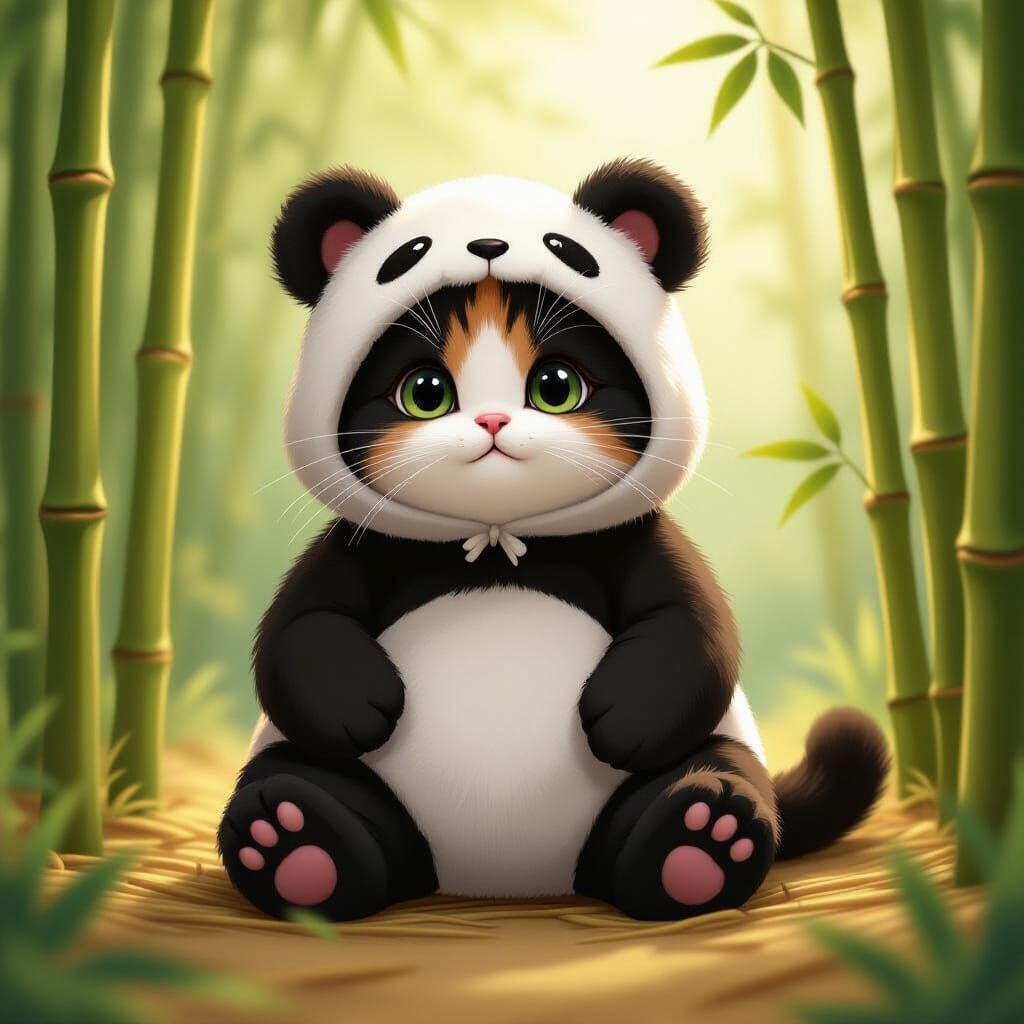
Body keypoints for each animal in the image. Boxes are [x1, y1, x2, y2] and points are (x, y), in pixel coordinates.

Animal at [218, 159, 888, 921]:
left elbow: (693, 626)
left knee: (708, 770)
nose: (492, 423)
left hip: (711, 749)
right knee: (298, 777)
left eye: (557, 385)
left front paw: (624, 718)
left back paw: (700, 840)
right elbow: (300, 630)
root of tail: (504, 877)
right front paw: (360, 703)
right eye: (424, 392)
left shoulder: (637, 541)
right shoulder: (361, 546)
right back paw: (295, 843)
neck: (498, 537)